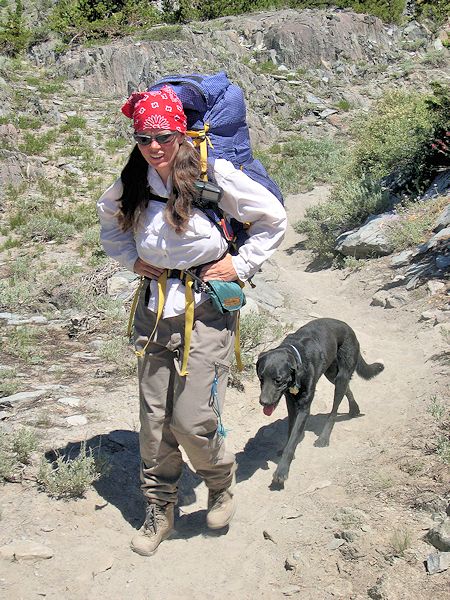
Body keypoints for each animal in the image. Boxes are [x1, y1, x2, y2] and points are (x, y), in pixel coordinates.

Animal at [256, 316, 384, 486]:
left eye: (278, 380)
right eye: (261, 378)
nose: (263, 402)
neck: (297, 358)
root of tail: (349, 328)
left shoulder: (304, 408)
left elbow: (293, 439)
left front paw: (282, 470)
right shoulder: (291, 402)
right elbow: (291, 432)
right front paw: (286, 450)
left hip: (341, 375)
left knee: (334, 410)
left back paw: (324, 437)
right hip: (331, 373)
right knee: (347, 389)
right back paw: (354, 409)